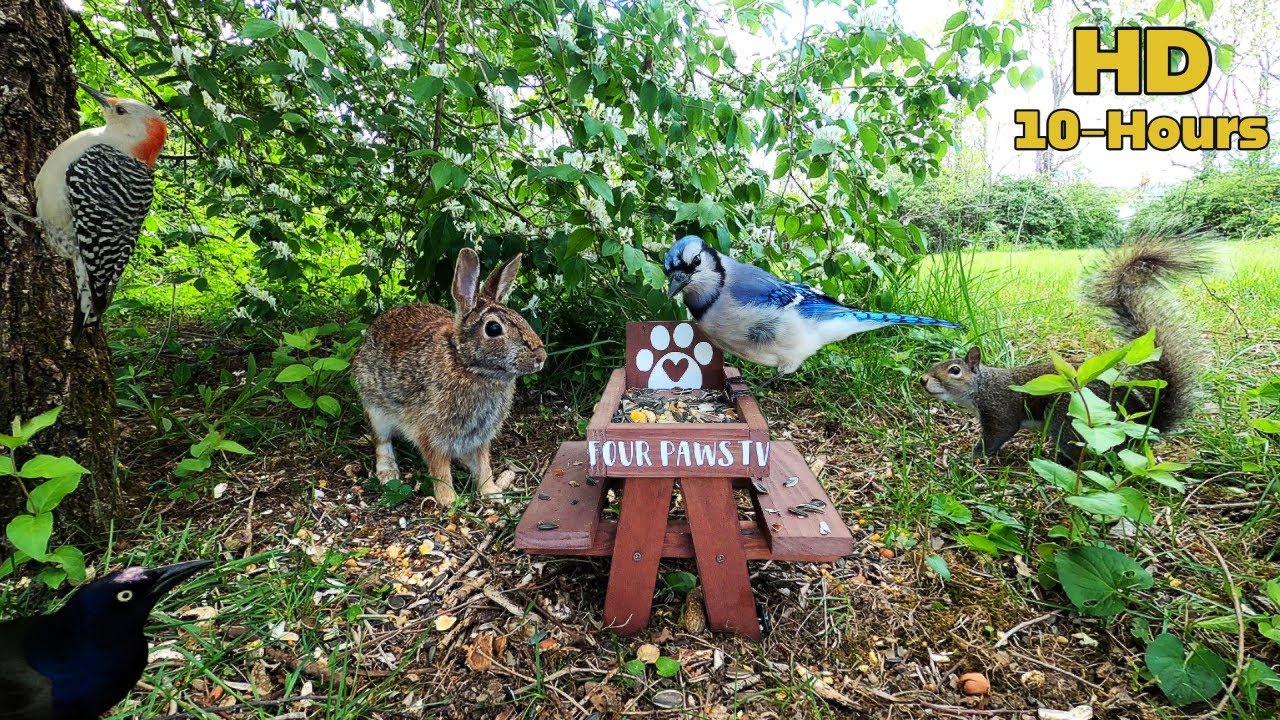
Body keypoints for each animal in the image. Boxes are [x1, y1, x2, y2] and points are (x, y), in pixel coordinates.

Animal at [920, 234, 1211, 464]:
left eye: (954, 370)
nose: (922, 380)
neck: (983, 385)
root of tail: (1139, 424)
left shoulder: (999, 409)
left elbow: (998, 435)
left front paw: (971, 457)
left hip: (1068, 419)